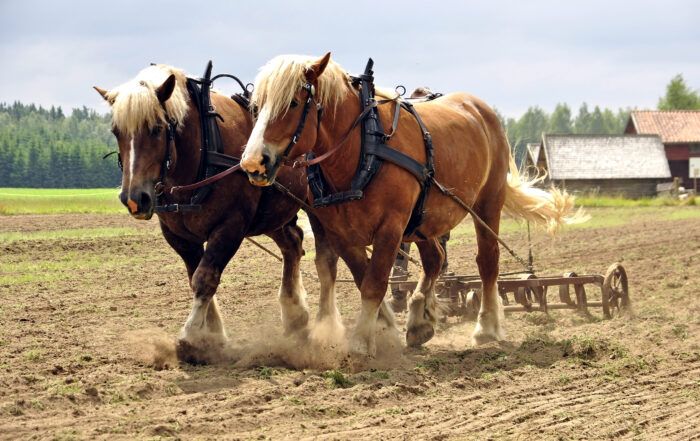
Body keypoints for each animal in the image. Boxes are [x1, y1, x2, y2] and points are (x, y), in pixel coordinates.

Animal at [94, 64, 322, 362]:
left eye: (156, 128)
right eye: (116, 131)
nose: (134, 199)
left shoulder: (230, 226)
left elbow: (205, 279)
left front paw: (191, 337)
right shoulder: (178, 235)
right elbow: (196, 276)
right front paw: (212, 336)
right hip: (274, 214)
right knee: (293, 243)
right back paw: (296, 316)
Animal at [239, 53, 584, 357]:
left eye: (293, 103)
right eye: (256, 106)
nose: (253, 162)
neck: (363, 149)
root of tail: (481, 108)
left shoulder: (391, 226)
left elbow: (375, 282)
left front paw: (361, 342)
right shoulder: (340, 231)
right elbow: (364, 277)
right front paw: (385, 331)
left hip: (488, 202)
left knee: (487, 262)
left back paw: (486, 328)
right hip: (423, 220)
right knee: (435, 259)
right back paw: (420, 321)